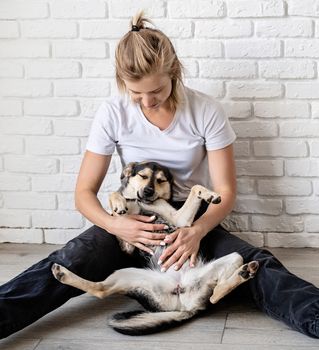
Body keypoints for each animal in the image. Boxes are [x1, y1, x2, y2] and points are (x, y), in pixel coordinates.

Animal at [51, 161, 258, 336]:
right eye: (142, 176)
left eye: (160, 180)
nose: (149, 191)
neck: (141, 203)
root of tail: (183, 304)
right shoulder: (127, 242)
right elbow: (115, 198)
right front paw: (118, 203)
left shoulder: (179, 220)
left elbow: (195, 188)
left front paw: (209, 194)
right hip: (126, 275)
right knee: (100, 289)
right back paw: (62, 273)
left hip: (233, 257)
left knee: (215, 295)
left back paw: (244, 273)